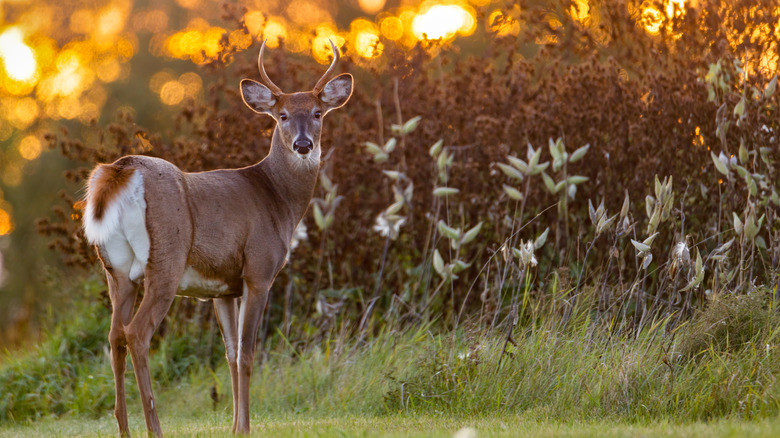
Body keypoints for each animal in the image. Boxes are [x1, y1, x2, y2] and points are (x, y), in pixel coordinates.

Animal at [81, 40, 354, 434]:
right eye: (282, 115)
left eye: (318, 113)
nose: (303, 145)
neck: (277, 199)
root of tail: (120, 170)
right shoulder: (258, 271)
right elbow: (248, 353)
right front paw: (246, 428)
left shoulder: (222, 289)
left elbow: (230, 354)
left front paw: (235, 426)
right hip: (165, 261)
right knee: (137, 333)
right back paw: (155, 428)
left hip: (116, 271)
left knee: (115, 335)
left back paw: (124, 428)